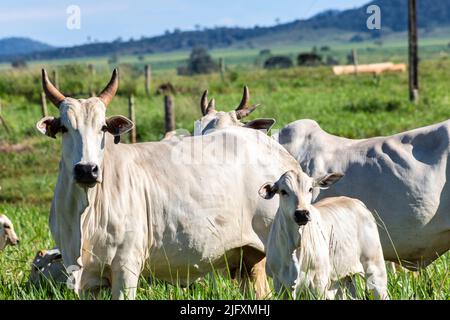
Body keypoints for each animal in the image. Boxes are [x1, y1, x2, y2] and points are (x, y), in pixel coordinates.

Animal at [37, 69, 300, 300]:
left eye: (103, 127)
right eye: (64, 128)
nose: (86, 170)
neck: (86, 211)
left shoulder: (126, 267)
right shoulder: (85, 279)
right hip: (249, 257)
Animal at [258, 170, 388, 300]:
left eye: (310, 189)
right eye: (283, 191)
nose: (302, 213)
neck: (295, 245)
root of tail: (356, 202)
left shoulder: (318, 284)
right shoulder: (279, 284)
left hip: (375, 270)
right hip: (343, 279)